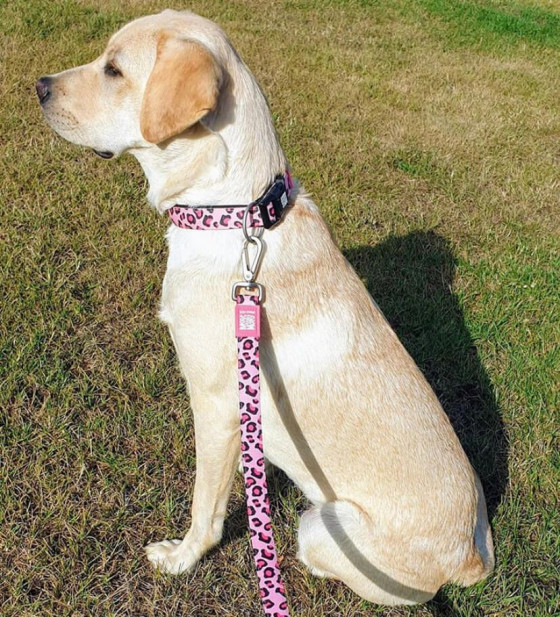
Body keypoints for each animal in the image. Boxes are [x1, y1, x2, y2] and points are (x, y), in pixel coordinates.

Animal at [36, 9, 494, 606]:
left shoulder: (218, 408)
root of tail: (467, 561)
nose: (39, 86)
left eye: (114, 69)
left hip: (320, 523)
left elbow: (205, 506)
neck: (231, 213)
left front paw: (182, 559)